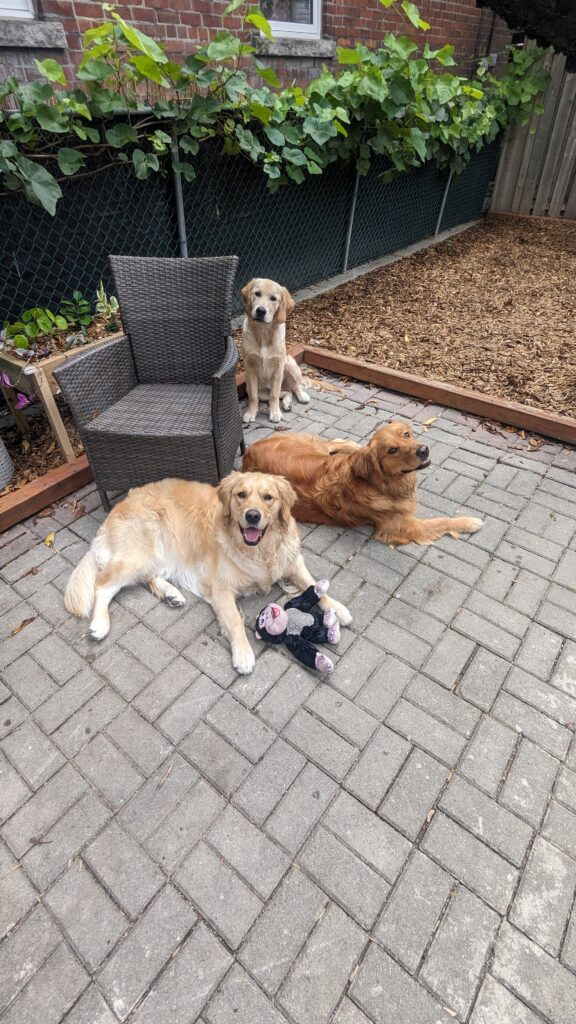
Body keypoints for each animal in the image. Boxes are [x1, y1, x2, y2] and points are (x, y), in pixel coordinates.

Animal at [62, 468, 350, 671]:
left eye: (268, 497)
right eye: (241, 495)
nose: (252, 516)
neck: (259, 551)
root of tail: (118, 506)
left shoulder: (292, 561)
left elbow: (315, 585)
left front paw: (338, 608)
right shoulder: (221, 587)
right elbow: (233, 619)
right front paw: (243, 653)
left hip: (155, 557)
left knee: (147, 578)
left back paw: (171, 594)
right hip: (139, 553)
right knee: (102, 584)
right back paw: (100, 624)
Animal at [238, 276, 307, 423]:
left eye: (273, 298)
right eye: (257, 294)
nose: (260, 311)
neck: (264, 332)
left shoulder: (278, 368)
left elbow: (274, 395)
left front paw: (275, 413)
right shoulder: (250, 369)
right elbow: (253, 396)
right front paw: (251, 413)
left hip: (290, 364)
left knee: (294, 387)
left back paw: (302, 396)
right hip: (259, 390)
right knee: (286, 392)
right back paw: (287, 403)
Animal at [239, 421, 481, 548]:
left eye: (406, 434)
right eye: (392, 450)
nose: (424, 450)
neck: (379, 484)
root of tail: (248, 451)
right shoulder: (401, 526)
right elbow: (441, 521)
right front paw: (469, 522)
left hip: (315, 449)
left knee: (334, 443)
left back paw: (356, 447)